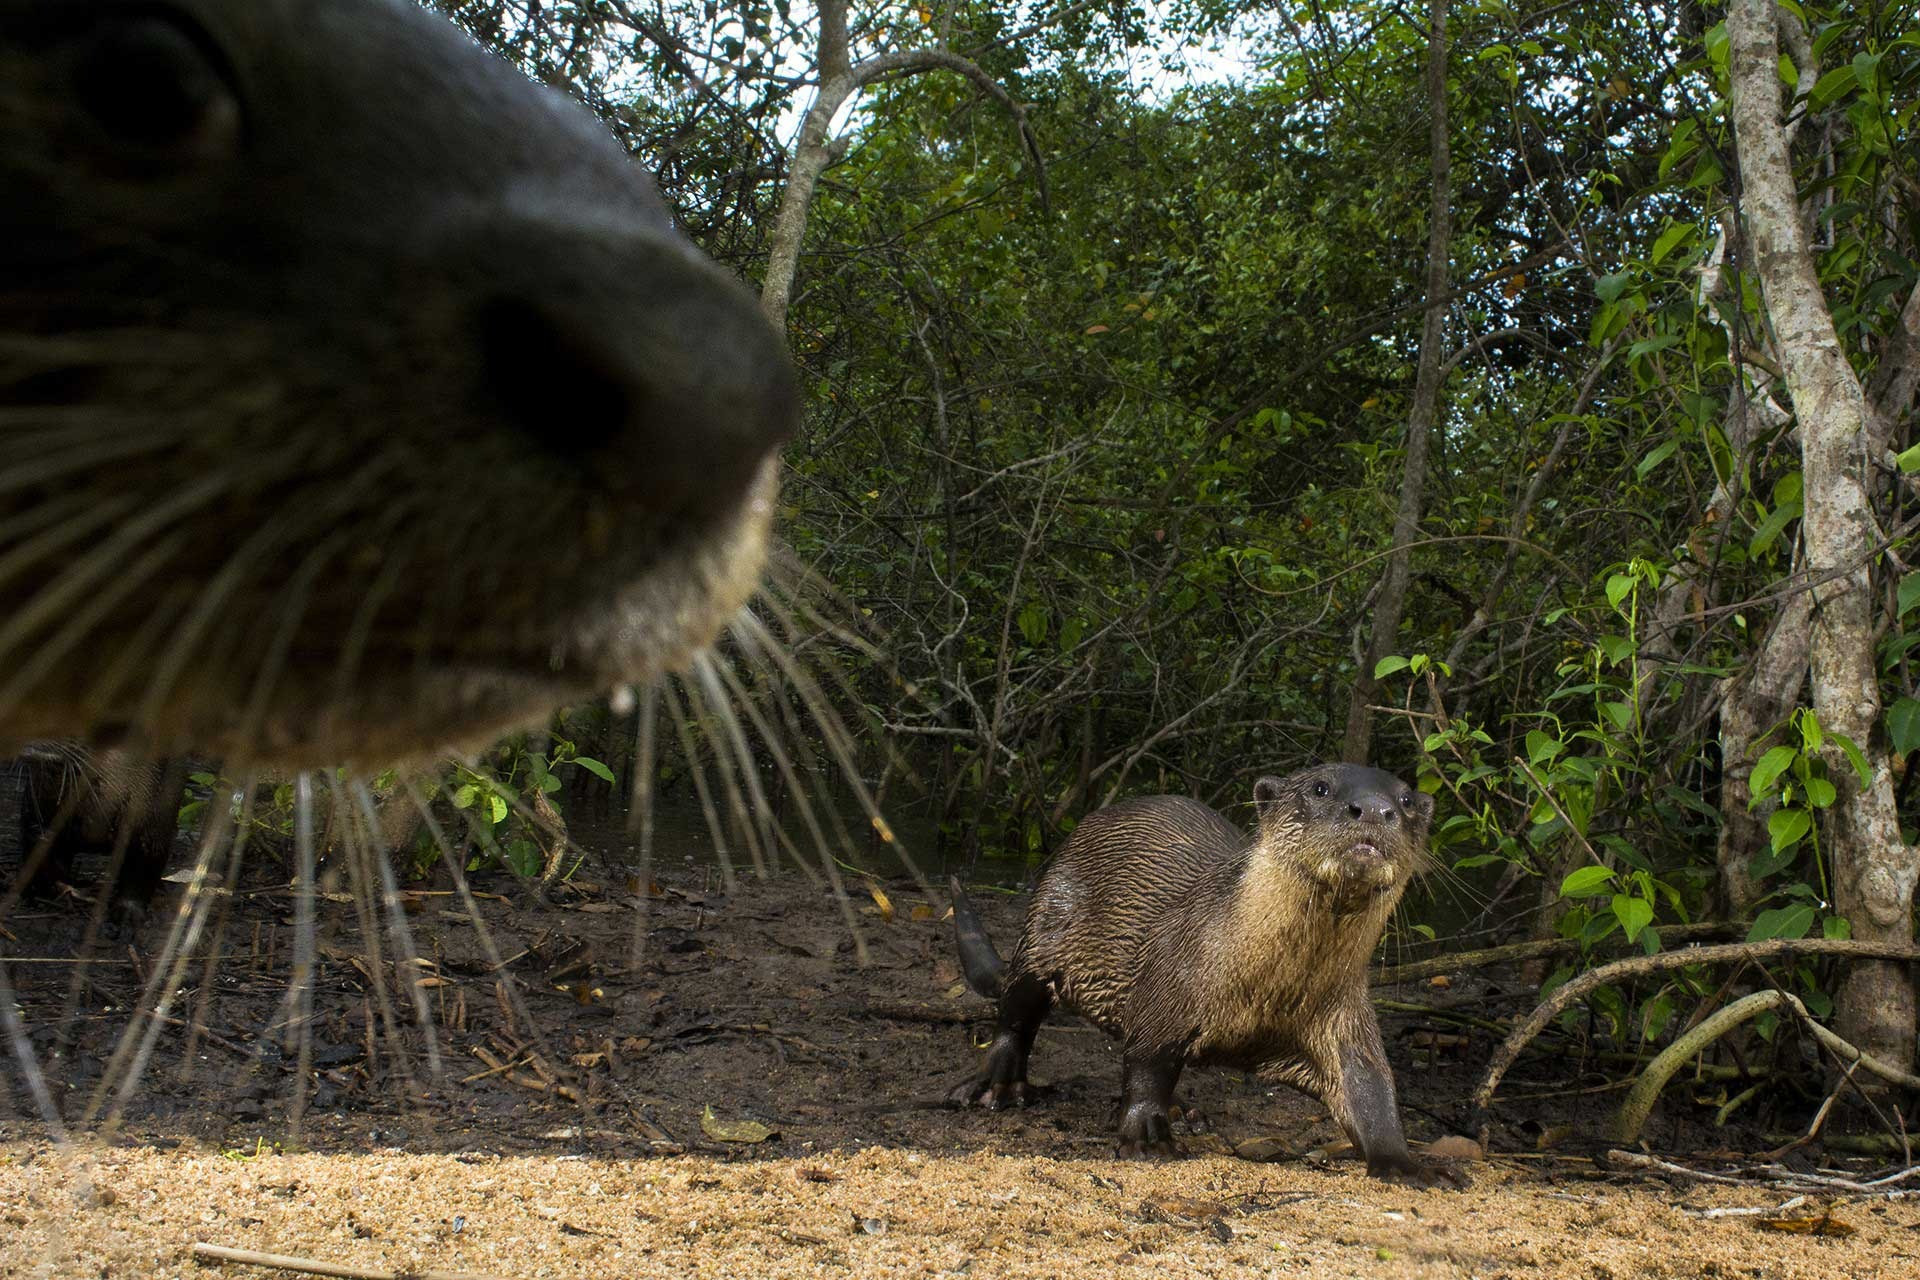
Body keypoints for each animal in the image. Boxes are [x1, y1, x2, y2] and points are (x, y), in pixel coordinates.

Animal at [952, 759, 1459, 1189]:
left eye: (1406, 800)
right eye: (1320, 788)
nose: (1373, 808)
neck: (1268, 985)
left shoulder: (1344, 1013)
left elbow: (1370, 1086)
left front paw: (1406, 1165)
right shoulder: (1169, 984)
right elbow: (1148, 1060)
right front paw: (1146, 1137)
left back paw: (1183, 1110)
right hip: (1045, 930)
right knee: (1017, 1011)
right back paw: (997, 1086)